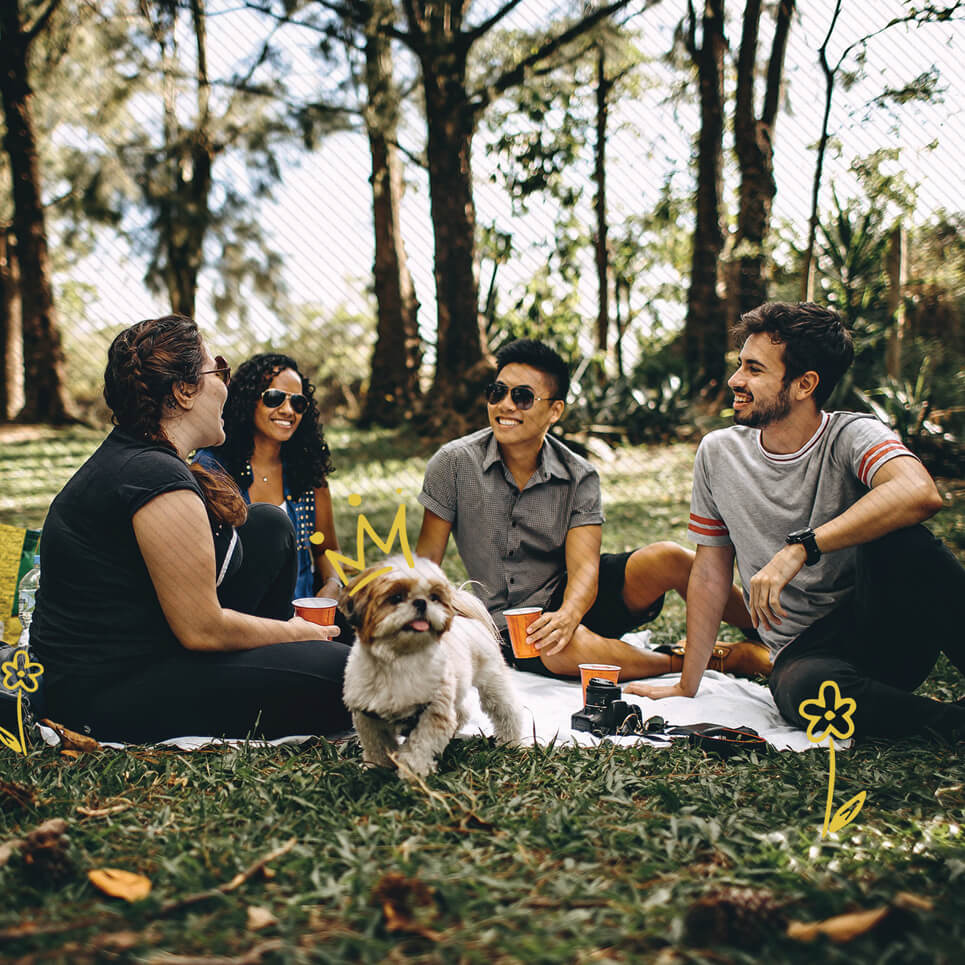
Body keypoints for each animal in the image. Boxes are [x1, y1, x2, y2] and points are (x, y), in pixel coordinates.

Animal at [338, 552, 520, 780]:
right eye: (396, 597)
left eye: (434, 597)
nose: (421, 602)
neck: (400, 659)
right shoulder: (368, 715)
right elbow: (376, 745)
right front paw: (377, 768)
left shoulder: (434, 711)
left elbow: (420, 745)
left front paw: (412, 771)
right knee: (461, 712)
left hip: (492, 682)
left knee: (507, 711)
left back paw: (511, 741)